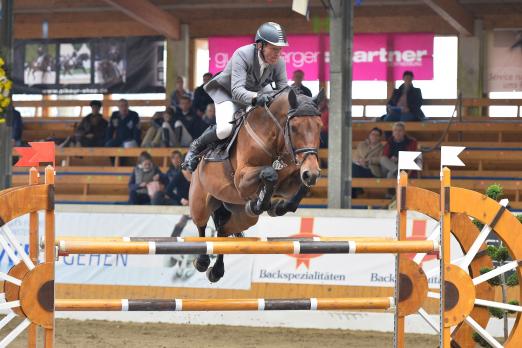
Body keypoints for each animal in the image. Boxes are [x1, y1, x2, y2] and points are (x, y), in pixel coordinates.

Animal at [189, 88, 322, 282]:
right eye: (294, 127)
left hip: (243, 217)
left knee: (223, 231)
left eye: (320, 126)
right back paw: (202, 262)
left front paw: (277, 206)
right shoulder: (241, 179)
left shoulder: (290, 182)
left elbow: (299, 188)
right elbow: (269, 173)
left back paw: (216, 271)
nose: (311, 173)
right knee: (201, 226)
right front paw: (260, 203)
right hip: (200, 202)